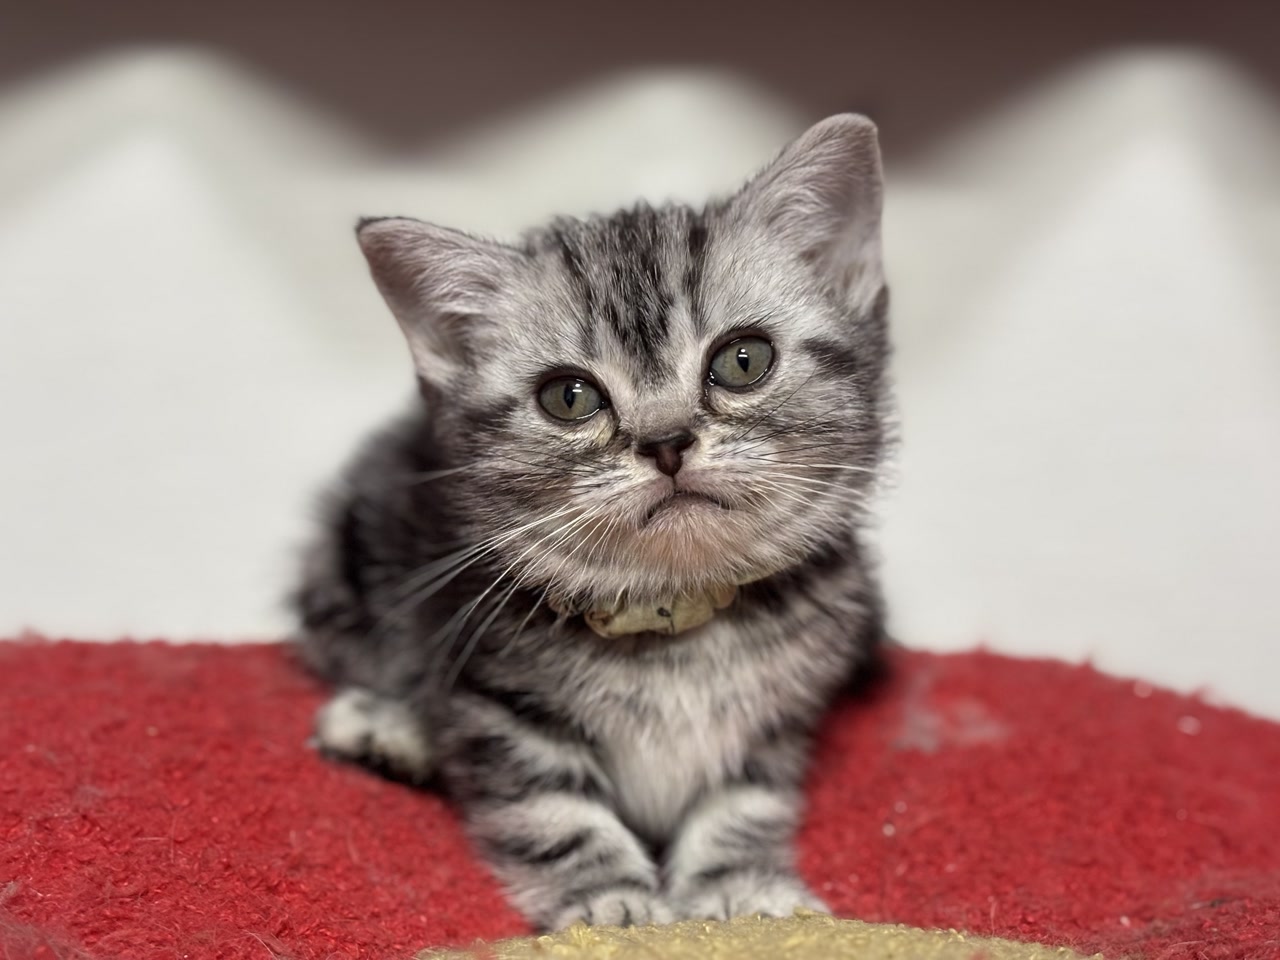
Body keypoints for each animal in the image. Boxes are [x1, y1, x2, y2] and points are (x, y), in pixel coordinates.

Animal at [292, 113, 893, 931]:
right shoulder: (496, 701)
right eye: (569, 397)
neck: (675, 618)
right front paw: (607, 902)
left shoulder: (779, 715)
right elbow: (552, 811)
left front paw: (736, 882)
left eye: (743, 360)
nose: (666, 441)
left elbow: (745, 798)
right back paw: (390, 729)